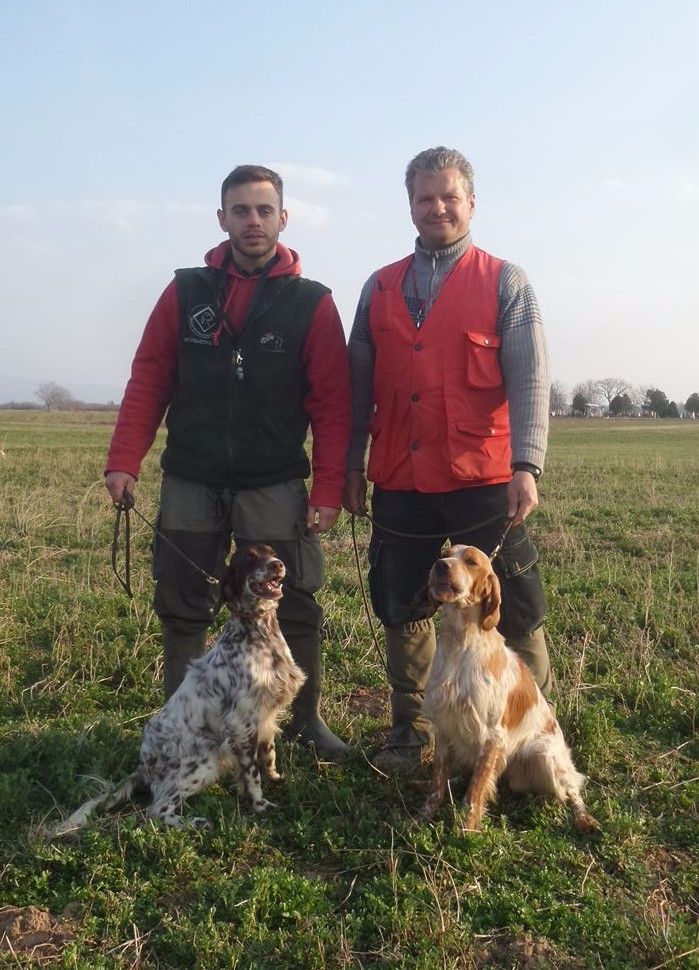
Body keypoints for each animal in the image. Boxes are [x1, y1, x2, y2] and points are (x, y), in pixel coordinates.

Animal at [53, 544, 304, 832]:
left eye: (271, 551)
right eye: (249, 559)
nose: (277, 564)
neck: (259, 635)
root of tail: (145, 765)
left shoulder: (266, 714)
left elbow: (268, 754)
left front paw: (275, 777)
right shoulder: (243, 723)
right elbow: (251, 774)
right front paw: (260, 805)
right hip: (204, 762)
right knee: (157, 809)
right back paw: (194, 822)